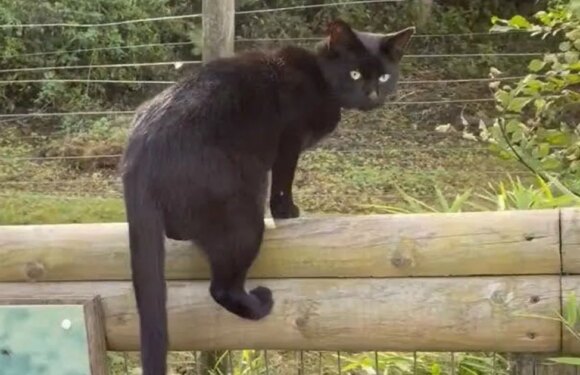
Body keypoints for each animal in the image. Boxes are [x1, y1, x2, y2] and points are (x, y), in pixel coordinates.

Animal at [120, 19, 414, 375]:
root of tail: (138, 158)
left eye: (384, 76)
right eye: (355, 74)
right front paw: (288, 211)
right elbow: (284, 181)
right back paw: (259, 303)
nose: (372, 94)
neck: (319, 76)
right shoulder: (289, 140)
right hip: (244, 213)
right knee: (222, 287)